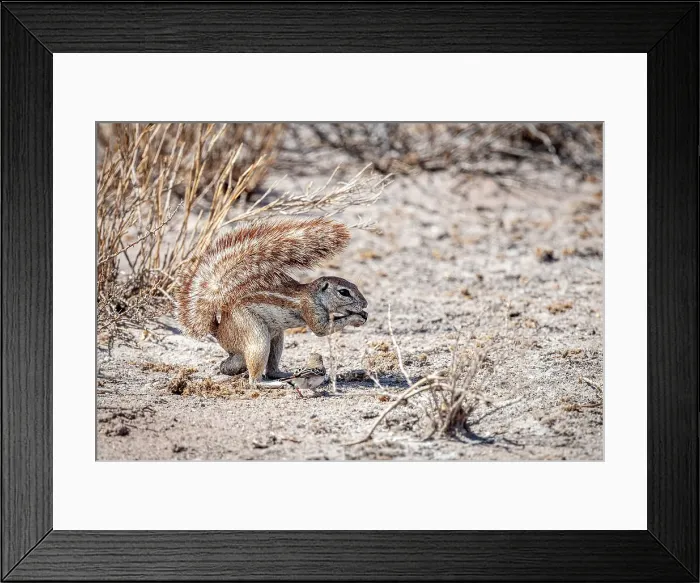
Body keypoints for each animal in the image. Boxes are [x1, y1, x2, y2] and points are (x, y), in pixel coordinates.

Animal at [176, 218, 368, 384]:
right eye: (343, 292)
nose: (365, 304)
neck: (314, 294)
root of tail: (219, 330)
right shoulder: (311, 309)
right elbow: (322, 329)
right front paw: (356, 317)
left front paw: (363, 315)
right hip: (255, 335)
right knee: (254, 380)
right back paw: (269, 383)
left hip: (275, 339)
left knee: (254, 366)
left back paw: (277, 373)